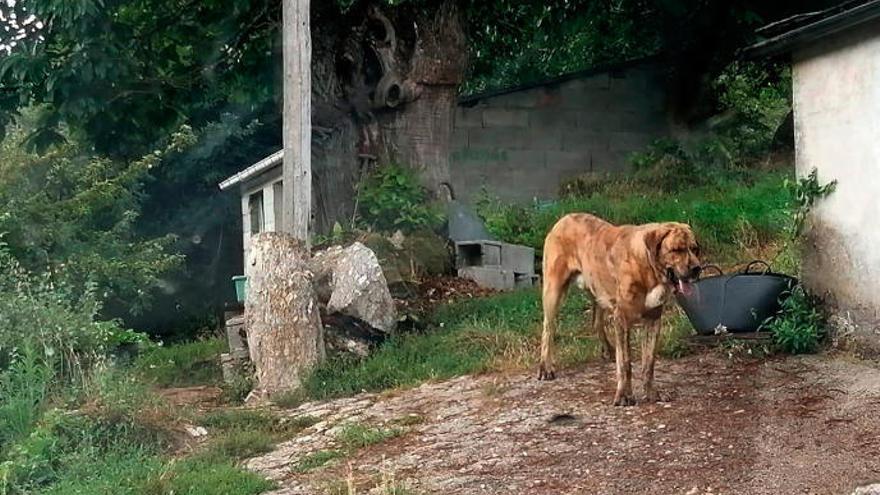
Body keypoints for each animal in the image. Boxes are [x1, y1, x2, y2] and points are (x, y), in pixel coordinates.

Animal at [536, 213, 700, 406]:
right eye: (677, 250)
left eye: (695, 249)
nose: (697, 268)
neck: (647, 266)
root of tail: (564, 218)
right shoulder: (622, 318)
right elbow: (625, 362)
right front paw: (624, 396)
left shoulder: (653, 319)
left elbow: (649, 362)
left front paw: (652, 393)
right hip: (553, 291)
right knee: (548, 329)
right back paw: (545, 367)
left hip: (597, 291)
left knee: (596, 322)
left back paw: (608, 350)